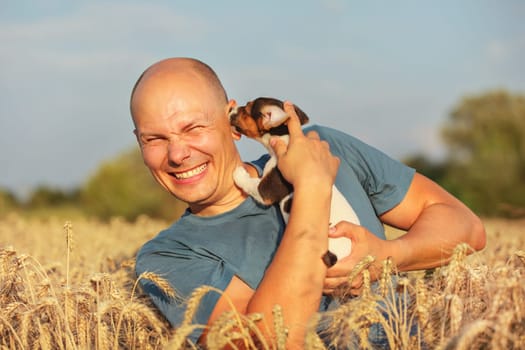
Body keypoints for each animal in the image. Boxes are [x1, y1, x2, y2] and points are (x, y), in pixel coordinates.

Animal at [227, 97, 358, 266]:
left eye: (247, 108)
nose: (231, 109)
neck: (285, 140)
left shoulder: (266, 190)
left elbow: (249, 183)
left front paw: (238, 172)